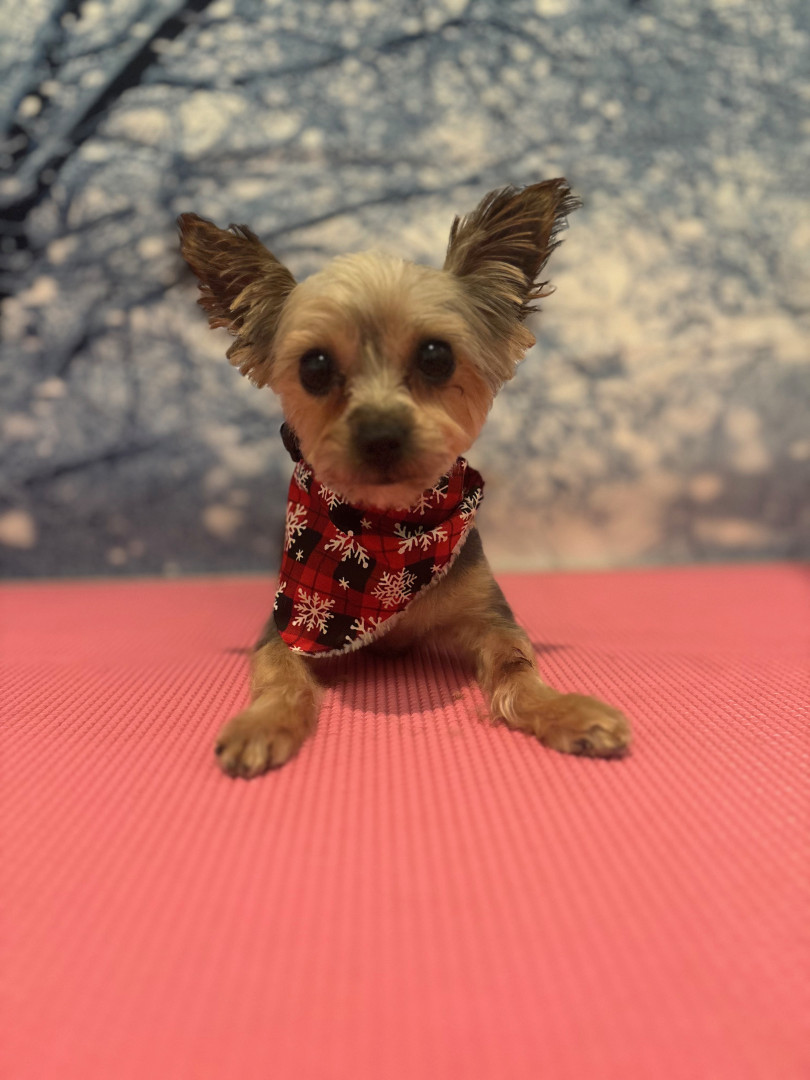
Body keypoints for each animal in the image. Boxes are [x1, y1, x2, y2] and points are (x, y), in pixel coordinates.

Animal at [178, 181, 631, 778]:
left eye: (436, 356)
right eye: (314, 367)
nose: (380, 435)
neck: (388, 537)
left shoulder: (491, 616)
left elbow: (515, 665)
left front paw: (568, 711)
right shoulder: (287, 626)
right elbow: (280, 677)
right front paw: (263, 723)